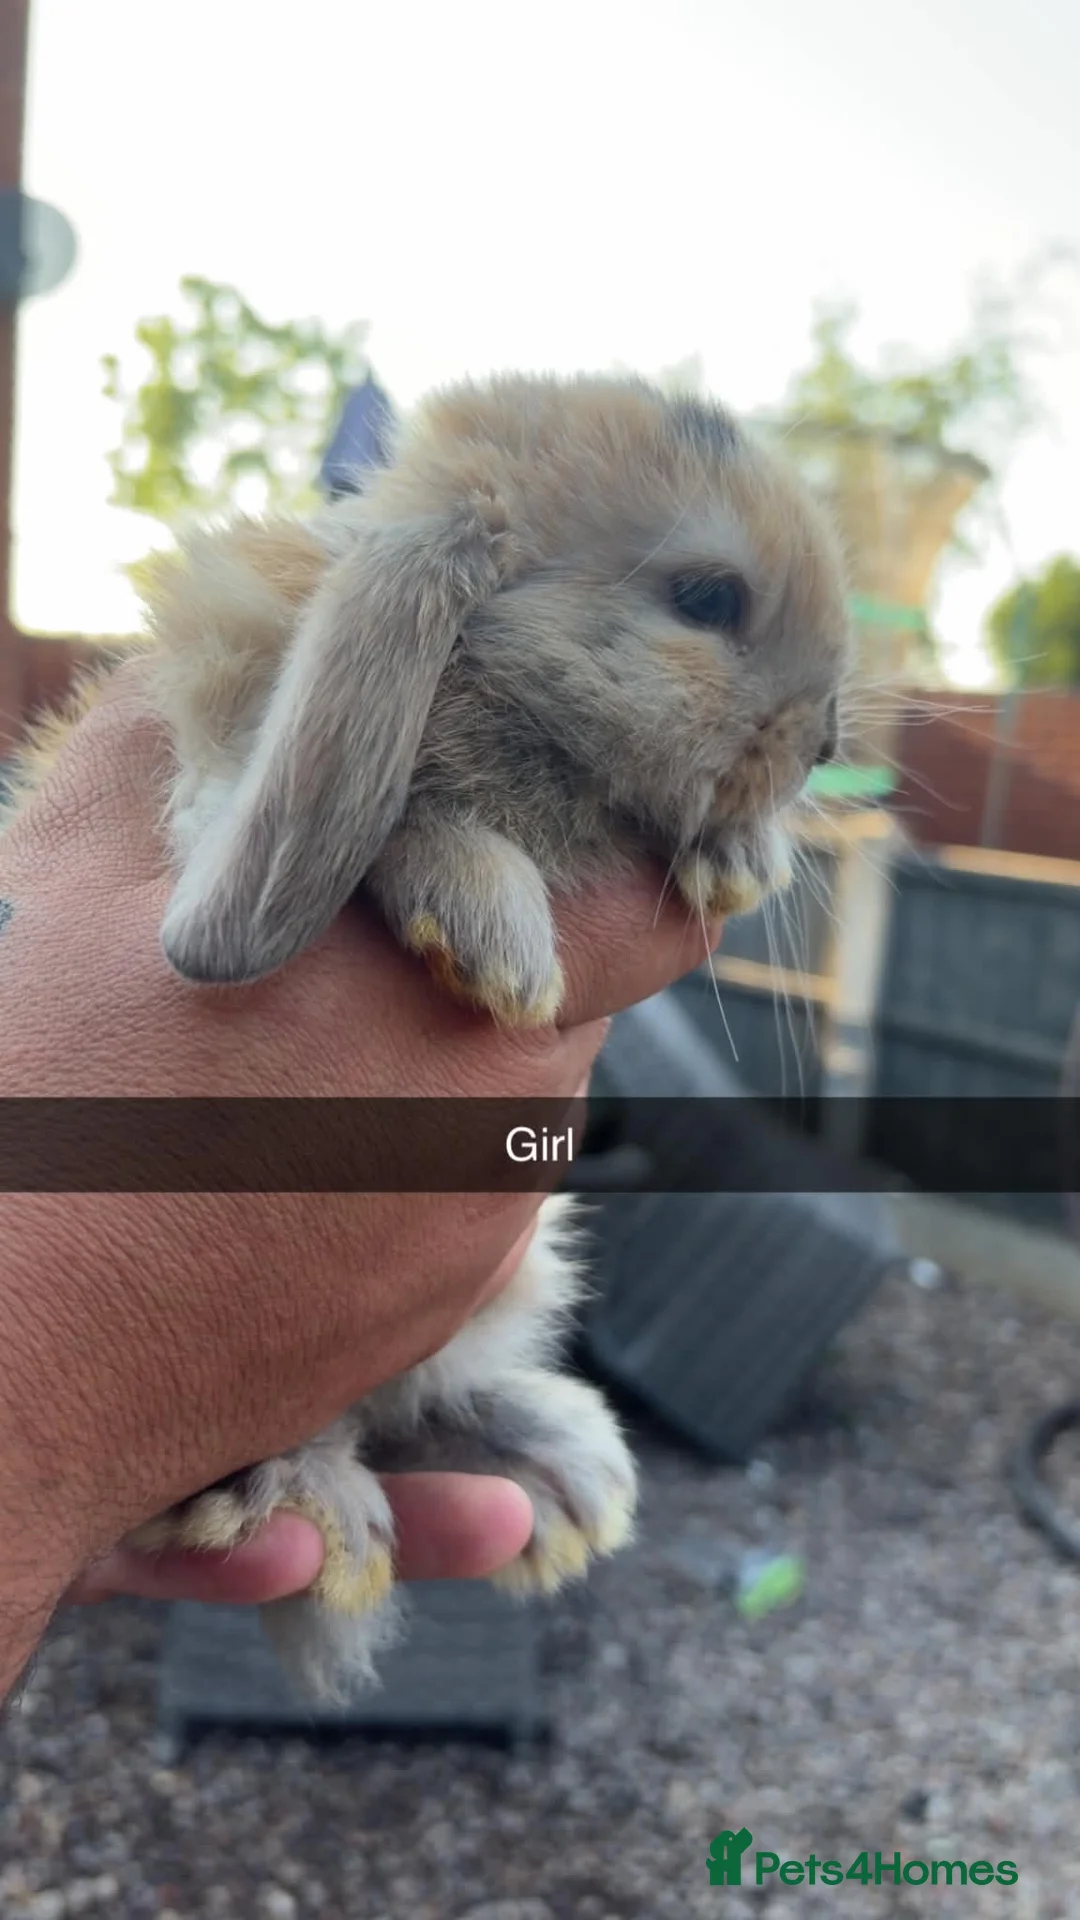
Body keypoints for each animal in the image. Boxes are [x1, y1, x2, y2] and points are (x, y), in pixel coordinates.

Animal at [2, 371, 851, 1701]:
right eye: (707, 598)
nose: (826, 742)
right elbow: (408, 827)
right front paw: (499, 948)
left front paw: (738, 858)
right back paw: (324, 1509)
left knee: (409, 1413)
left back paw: (563, 1478)